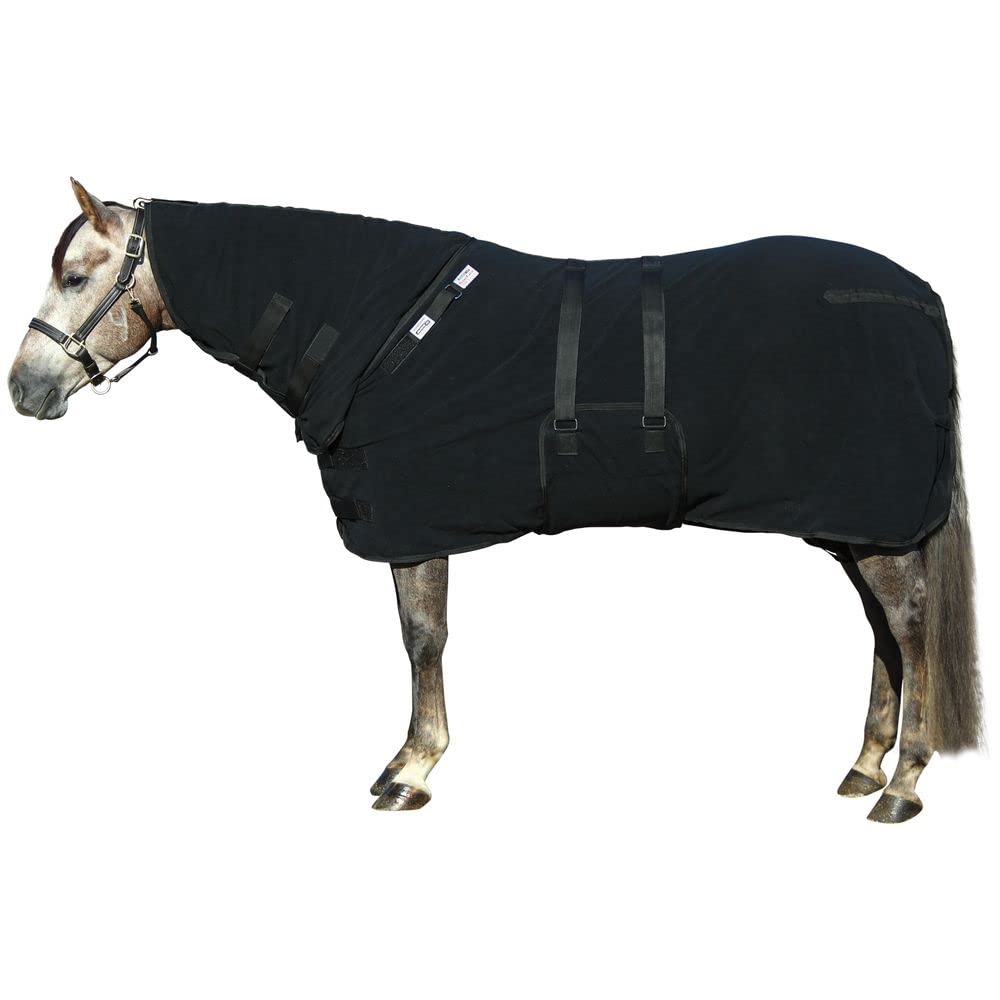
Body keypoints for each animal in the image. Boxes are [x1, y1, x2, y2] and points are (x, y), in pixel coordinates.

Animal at [7, 179, 983, 820]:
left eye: (76, 275)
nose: (25, 388)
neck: (387, 329)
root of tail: (920, 296)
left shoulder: (412, 522)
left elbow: (422, 639)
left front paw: (411, 769)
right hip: (848, 519)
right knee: (884, 633)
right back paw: (864, 766)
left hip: (871, 516)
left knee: (908, 627)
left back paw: (903, 783)